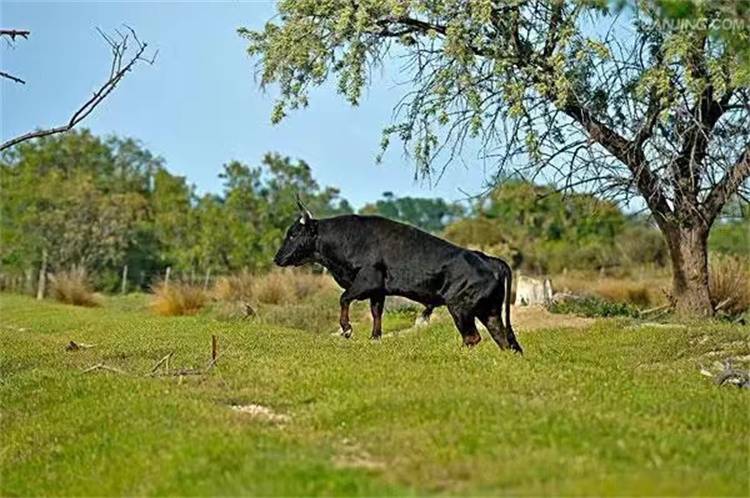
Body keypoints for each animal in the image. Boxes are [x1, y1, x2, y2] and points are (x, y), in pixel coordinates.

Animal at [274, 203, 524, 354]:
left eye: (293, 234)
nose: (277, 258)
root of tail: (487, 258)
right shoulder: (378, 291)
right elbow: (376, 313)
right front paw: (375, 338)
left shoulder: (367, 281)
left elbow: (344, 298)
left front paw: (347, 329)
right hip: (489, 311)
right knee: (502, 339)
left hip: (460, 308)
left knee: (472, 337)